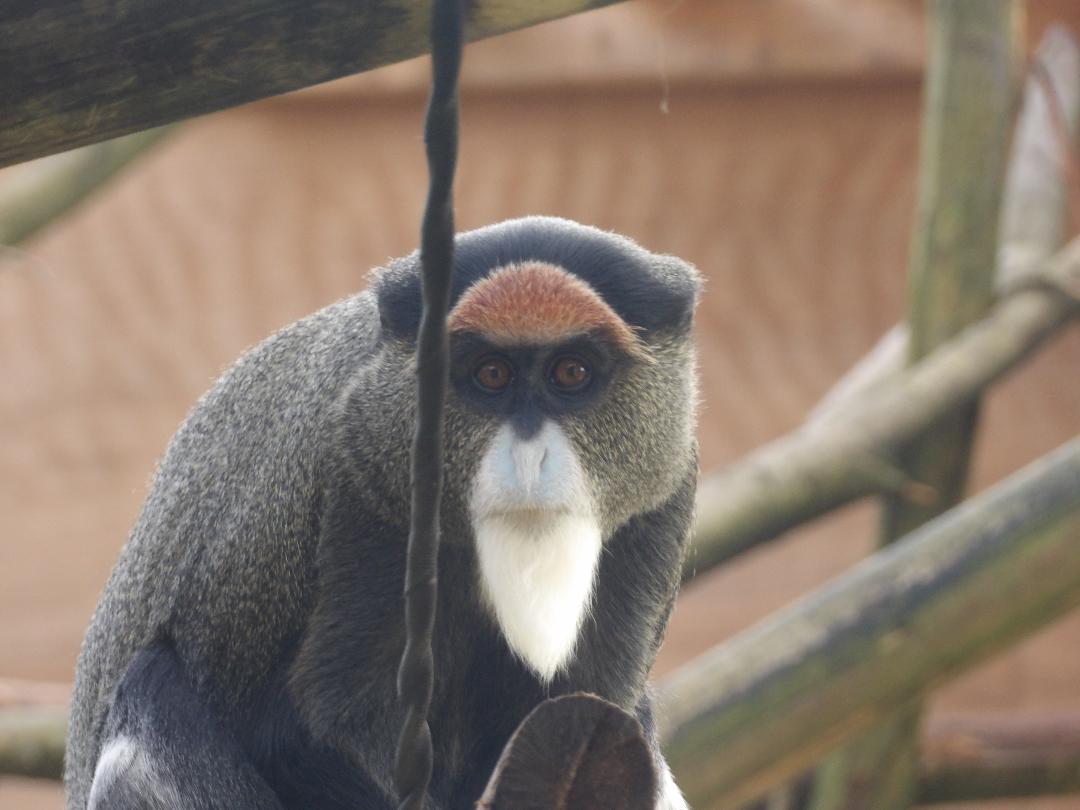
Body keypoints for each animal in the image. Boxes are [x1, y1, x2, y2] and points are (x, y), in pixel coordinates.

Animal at [65, 216, 701, 810]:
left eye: (571, 372)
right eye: (490, 374)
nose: (531, 455)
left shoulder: (666, 493)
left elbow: (591, 707)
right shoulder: (356, 478)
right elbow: (308, 733)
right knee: (152, 693)